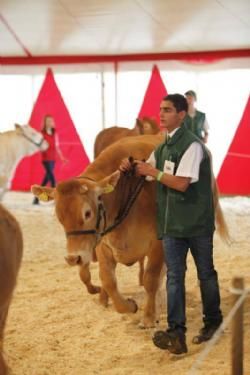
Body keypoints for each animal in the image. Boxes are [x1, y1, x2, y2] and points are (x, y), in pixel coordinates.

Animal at [31, 135, 229, 328]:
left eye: (87, 213)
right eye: (59, 216)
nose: (73, 258)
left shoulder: (158, 245)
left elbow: (151, 279)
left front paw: (148, 317)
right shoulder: (103, 245)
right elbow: (108, 280)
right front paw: (128, 306)